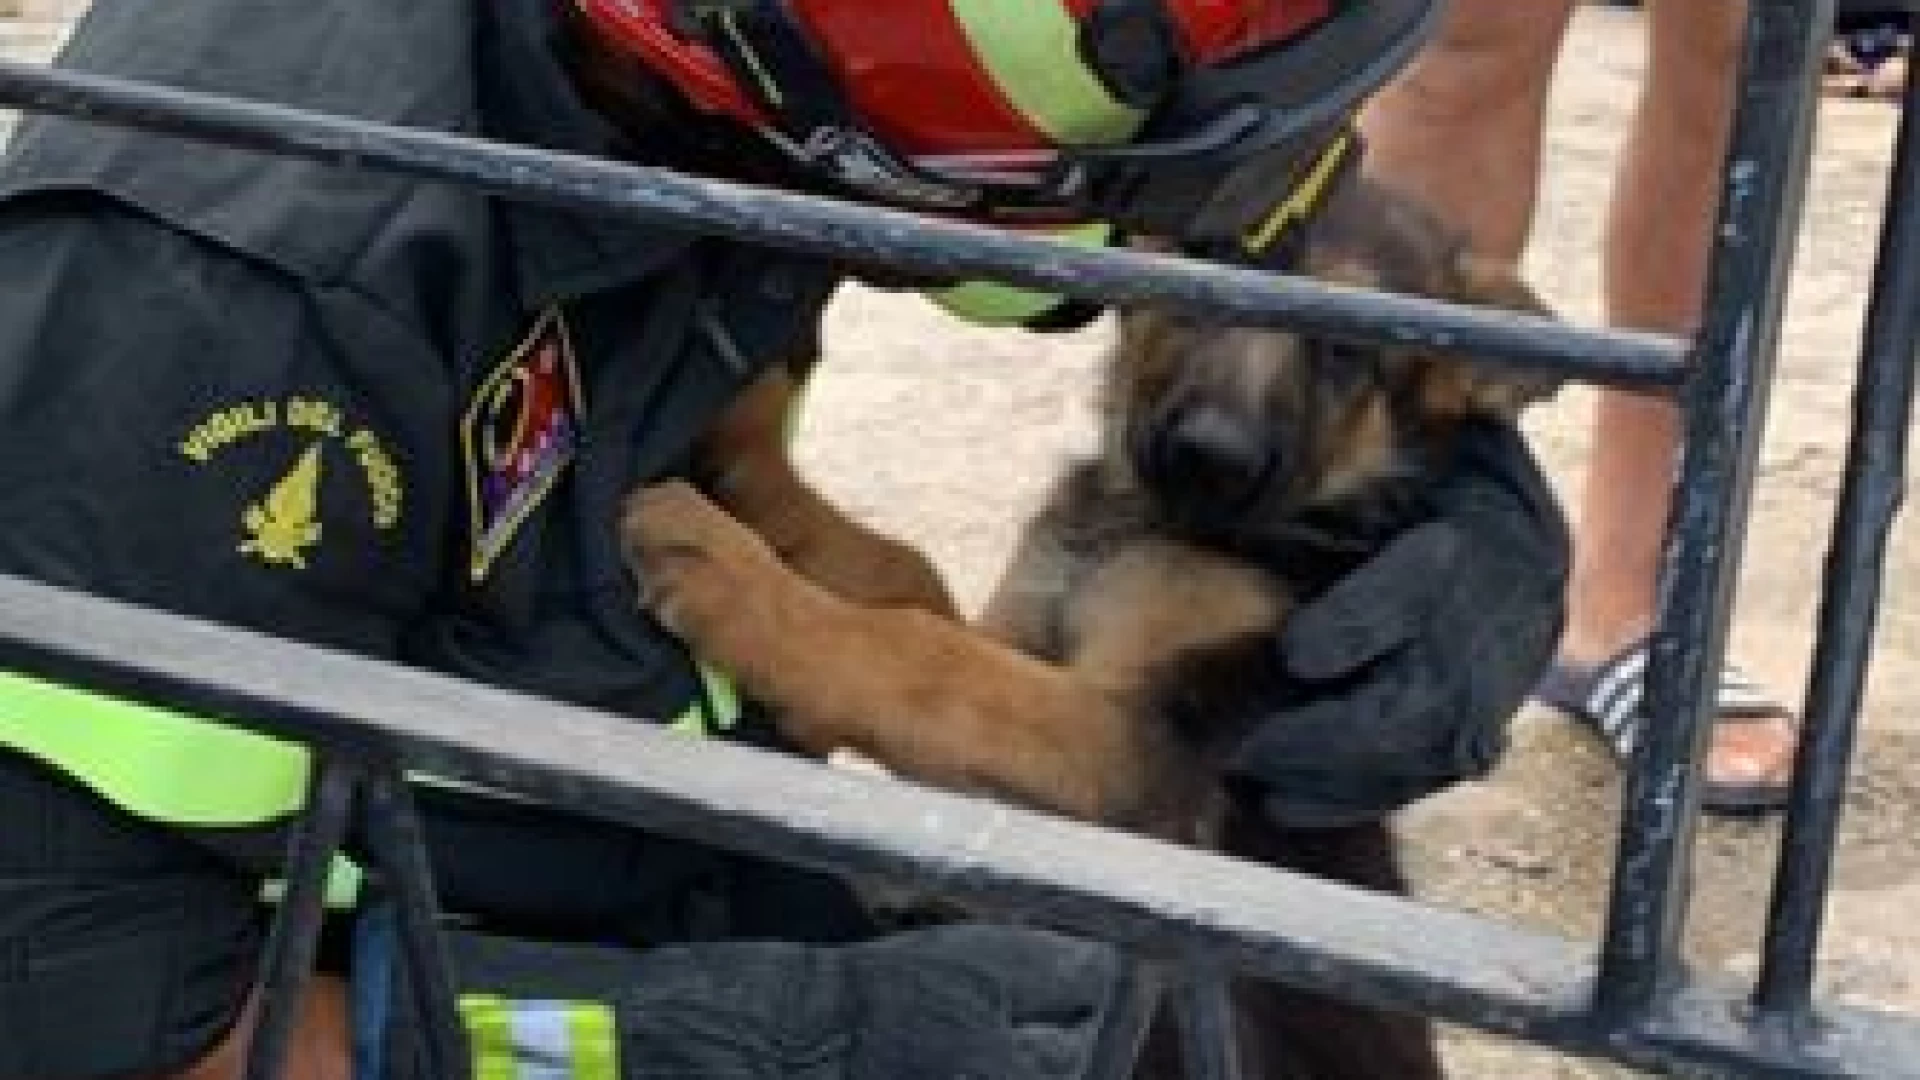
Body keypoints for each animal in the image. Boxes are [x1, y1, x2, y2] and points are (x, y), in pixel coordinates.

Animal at [622, 171, 1551, 1068]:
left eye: (1349, 349)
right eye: (1203, 267)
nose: (1210, 459)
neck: (1142, 524)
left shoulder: (1136, 754)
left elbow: (925, 654)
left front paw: (735, 577)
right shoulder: (1025, 632)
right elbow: (909, 581)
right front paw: (748, 448)